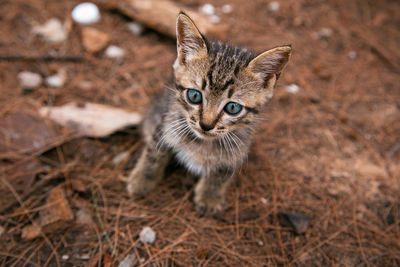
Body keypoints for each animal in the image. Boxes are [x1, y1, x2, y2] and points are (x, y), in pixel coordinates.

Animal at [126, 12, 292, 217]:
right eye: (194, 96)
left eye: (233, 108)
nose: (206, 125)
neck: (202, 143)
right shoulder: (165, 125)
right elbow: (154, 153)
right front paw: (142, 180)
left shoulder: (238, 149)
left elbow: (222, 171)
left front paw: (210, 196)